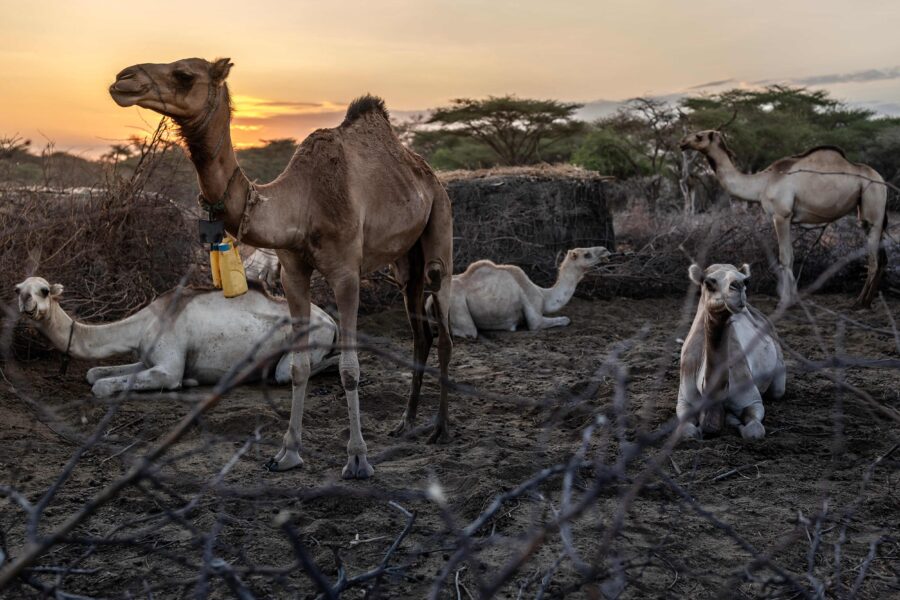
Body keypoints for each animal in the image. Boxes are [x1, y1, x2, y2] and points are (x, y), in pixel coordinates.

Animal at [15, 276, 338, 397]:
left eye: (43, 290)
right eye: (18, 288)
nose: (26, 302)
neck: (142, 324)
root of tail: (331, 320)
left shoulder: (168, 368)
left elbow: (102, 387)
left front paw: (188, 382)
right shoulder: (148, 359)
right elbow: (93, 373)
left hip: (309, 341)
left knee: (289, 372)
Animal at [110, 58, 454, 478]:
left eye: (185, 74)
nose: (123, 79)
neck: (301, 204)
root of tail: (427, 172)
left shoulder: (345, 273)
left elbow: (350, 369)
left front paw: (357, 459)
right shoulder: (292, 272)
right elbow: (299, 366)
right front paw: (287, 453)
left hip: (439, 223)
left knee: (443, 327)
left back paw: (439, 429)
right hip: (406, 259)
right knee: (421, 332)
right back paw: (406, 422)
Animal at [431, 247, 610, 339]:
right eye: (587, 254)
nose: (606, 251)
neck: (543, 295)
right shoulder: (534, 313)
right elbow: (564, 320)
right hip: (457, 305)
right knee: (469, 332)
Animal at [677, 263, 786, 440]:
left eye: (746, 281)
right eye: (709, 282)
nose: (738, 286)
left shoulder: (752, 400)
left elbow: (754, 431)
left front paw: (733, 422)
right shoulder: (684, 402)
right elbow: (688, 432)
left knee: (777, 391)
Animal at [680, 130, 888, 308]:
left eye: (699, 136)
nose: (682, 143)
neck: (761, 183)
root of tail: (882, 180)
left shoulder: (781, 215)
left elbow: (784, 258)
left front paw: (785, 301)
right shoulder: (786, 218)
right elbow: (792, 256)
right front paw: (794, 299)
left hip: (873, 207)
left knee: (874, 259)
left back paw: (860, 302)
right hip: (869, 214)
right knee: (882, 257)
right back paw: (867, 301)